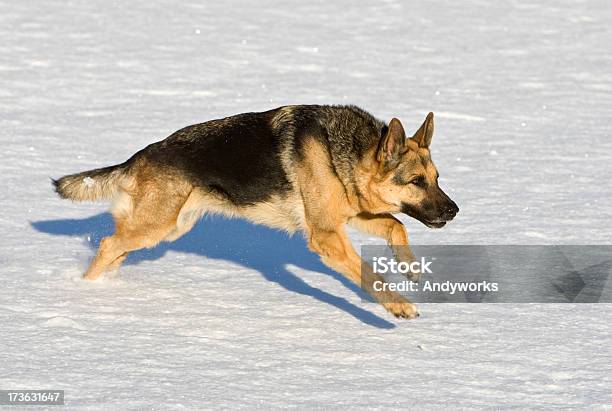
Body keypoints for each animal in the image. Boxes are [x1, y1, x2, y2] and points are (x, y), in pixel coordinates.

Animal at [55, 105, 456, 318]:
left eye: (436, 179)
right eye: (417, 181)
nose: (454, 211)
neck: (347, 154)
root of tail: (141, 155)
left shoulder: (347, 214)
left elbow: (396, 225)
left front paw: (410, 268)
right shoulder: (326, 235)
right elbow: (369, 274)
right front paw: (398, 307)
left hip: (168, 228)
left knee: (116, 247)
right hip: (156, 226)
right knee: (107, 244)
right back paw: (85, 292)